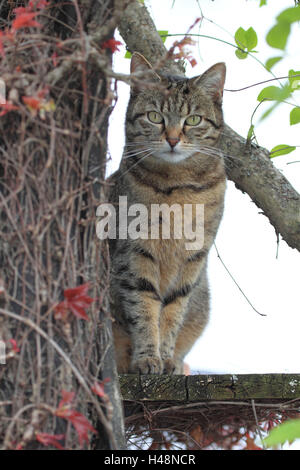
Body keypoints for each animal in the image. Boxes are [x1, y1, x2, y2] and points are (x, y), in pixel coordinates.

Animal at [106, 52, 226, 374]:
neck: (178, 186)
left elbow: (172, 312)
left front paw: (165, 356)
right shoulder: (135, 254)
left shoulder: (193, 260)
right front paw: (148, 357)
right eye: (155, 117)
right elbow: (144, 307)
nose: (172, 139)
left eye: (193, 119)